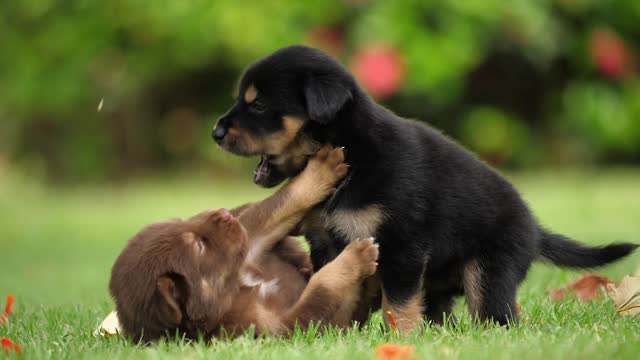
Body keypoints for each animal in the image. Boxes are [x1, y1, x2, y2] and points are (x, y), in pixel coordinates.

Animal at [110, 147, 380, 344]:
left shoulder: (251, 242)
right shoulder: (281, 327)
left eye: (179, 222)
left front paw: (322, 168)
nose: (223, 214)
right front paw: (356, 257)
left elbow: (280, 203)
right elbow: (321, 289)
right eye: (198, 246)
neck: (235, 287)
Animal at [212, 46, 636, 334]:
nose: (215, 131)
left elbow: (397, 303)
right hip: (441, 284)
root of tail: (534, 229)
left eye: (258, 105)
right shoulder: (325, 242)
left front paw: (399, 338)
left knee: (495, 315)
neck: (352, 153)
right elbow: (340, 283)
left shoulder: (402, 245)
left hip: (490, 271)